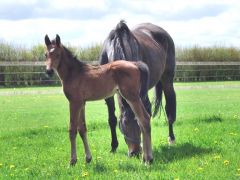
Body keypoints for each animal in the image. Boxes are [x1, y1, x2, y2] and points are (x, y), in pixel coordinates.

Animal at [44, 34, 153, 165]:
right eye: (45, 54)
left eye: (58, 54)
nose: (48, 71)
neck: (74, 73)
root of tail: (136, 64)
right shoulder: (82, 103)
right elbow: (82, 129)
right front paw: (88, 158)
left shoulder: (74, 103)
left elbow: (72, 129)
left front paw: (72, 161)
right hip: (133, 97)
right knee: (143, 119)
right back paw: (146, 158)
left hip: (131, 96)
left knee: (144, 119)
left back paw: (147, 160)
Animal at [99, 20, 176, 156]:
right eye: (124, 123)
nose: (134, 152)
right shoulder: (108, 95)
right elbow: (112, 119)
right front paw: (113, 147)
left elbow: (146, 115)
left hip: (167, 79)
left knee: (170, 108)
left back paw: (171, 139)